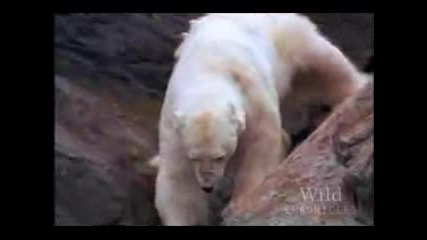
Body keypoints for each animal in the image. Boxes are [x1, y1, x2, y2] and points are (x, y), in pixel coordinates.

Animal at [155, 13, 370, 226]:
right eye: (194, 157)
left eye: (220, 156)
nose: (208, 186)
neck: (208, 73)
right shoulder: (173, 124)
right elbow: (177, 178)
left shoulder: (251, 93)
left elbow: (261, 144)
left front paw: (242, 201)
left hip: (289, 38)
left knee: (325, 61)